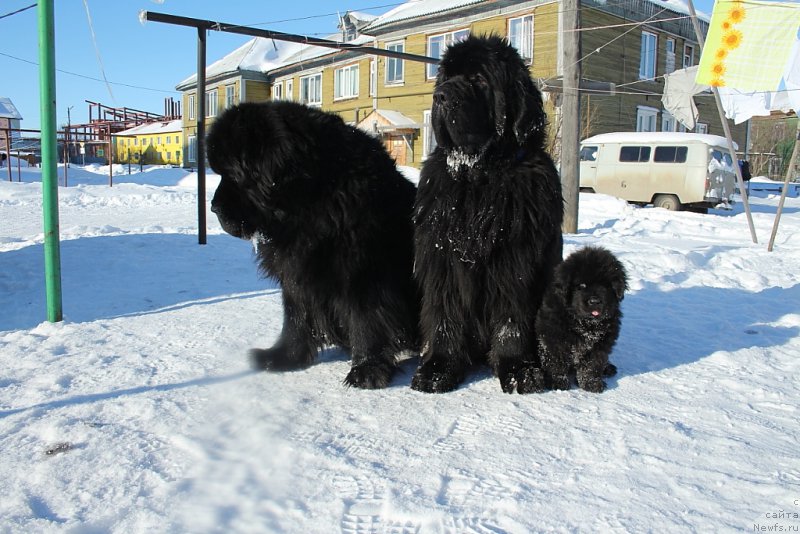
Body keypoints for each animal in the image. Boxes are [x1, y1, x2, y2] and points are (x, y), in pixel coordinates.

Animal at [206, 102, 418, 392]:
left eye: (233, 174)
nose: (213, 207)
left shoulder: (364, 273)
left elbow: (367, 320)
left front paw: (367, 369)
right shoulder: (297, 275)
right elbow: (295, 320)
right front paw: (282, 357)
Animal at [412, 34, 564, 394]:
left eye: (479, 79)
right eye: (446, 77)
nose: (440, 96)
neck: (479, 178)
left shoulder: (514, 261)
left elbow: (512, 319)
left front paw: (519, 370)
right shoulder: (443, 260)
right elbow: (445, 315)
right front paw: (438, 368)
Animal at [536, 247, 628, 394]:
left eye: (605, 286)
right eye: (581, 285)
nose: (595, 301)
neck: (584, 324)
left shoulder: (600, 344)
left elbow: (592, 365)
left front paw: (592, 384)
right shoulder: (553, 337)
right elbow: (555, 361)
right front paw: (558, 383)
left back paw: (608, 369)